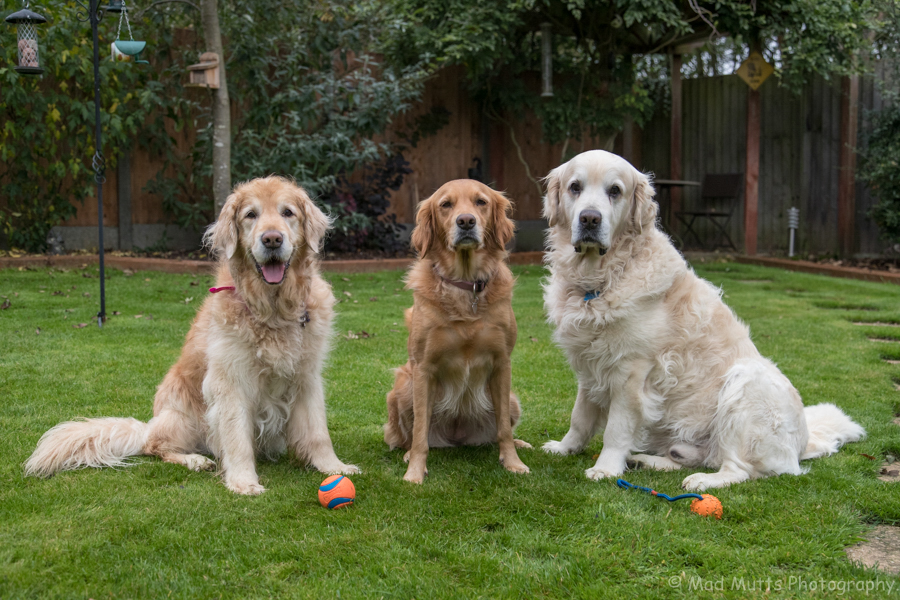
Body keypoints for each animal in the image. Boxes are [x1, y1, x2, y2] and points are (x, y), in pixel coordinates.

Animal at [23, 176, 358, 494]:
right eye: (251, 215)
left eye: (287, 212)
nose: (272, 239)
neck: (273, 308)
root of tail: (148, 426)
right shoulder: (229, 381)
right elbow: (236, 437)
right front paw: (243, 481)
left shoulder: (307, 375)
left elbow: (318, 431)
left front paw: (333, 466)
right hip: (184, 416)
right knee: (156, 446)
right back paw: (194, 460)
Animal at [384, 178, 532, 482]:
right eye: (446, 205)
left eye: (481, 202)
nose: (465, 221)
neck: (466, 285)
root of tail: (457, 438)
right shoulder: (423, 368)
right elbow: (419, 434)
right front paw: (414, 472)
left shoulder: (502, 364)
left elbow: (503, 428)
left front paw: (513, 462)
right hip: (402, 389)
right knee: (409, 437)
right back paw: (406, 454)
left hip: (512, 399)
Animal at [536, 151, 860, 492]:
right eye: (575, 187)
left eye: (615, 191)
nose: (589, 219)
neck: (599, 280)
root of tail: (803, 444)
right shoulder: (589, 365)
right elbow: (580, 416)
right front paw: (565, 448)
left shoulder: (631, 371)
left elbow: (617, 428)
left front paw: (606, 468)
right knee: (697, 457)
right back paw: (647, 461)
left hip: (744, 383)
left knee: (738, 469)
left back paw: (702, 480)